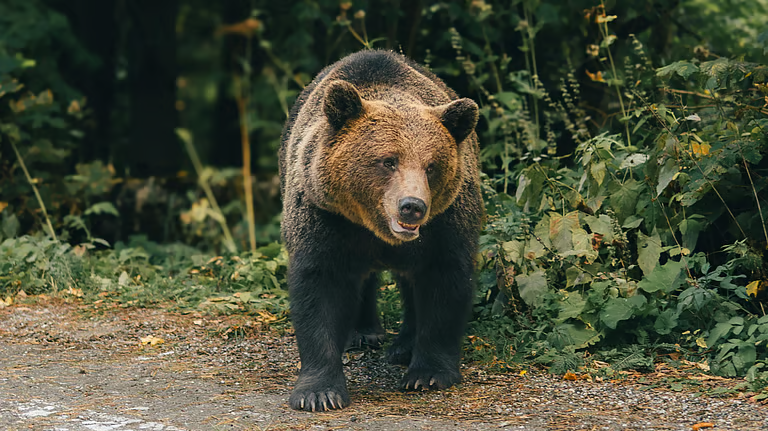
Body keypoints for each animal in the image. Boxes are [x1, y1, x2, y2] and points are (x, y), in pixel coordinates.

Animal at [279, 49, 483, 412]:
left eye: (431, 166)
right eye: (388, 161)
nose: (412, 206)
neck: (375, 227)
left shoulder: (446, 224)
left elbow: (445, 285)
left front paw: (427, 374)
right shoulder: (325, 217)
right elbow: (319, 289)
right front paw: (319, 393)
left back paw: (402, 347)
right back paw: (363, 333)